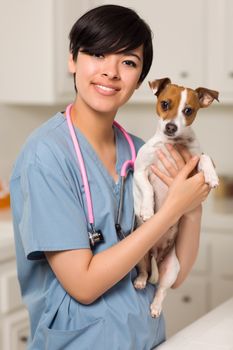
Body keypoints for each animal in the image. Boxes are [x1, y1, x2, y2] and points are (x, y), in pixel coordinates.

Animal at [133, 78, 218, 318]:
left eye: (188, 110)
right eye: (165, 104)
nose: (171, 127)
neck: (173, 143)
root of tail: (156, 253)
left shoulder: (194, 163)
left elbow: (205, 158)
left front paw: (212, 175)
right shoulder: (140, 171)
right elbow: (147, 189)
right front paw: (147, 210)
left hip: (172, 268)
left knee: (161, 289)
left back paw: (155, 307)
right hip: (140, 257)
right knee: (144, 273)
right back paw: (140, 282)